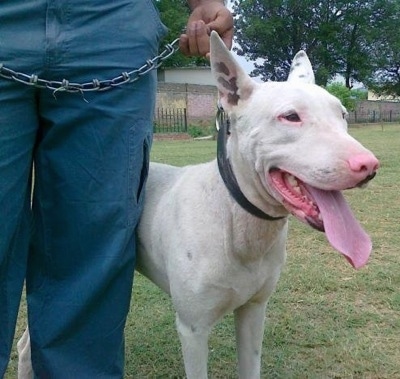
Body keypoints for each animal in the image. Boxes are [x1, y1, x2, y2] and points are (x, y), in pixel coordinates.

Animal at [16, 32, 378, 379]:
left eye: (343, 115)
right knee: (26, 345)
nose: (369, 165)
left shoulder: (253, 311)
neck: (237, 219)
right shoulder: (193, 329)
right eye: (290, 116)